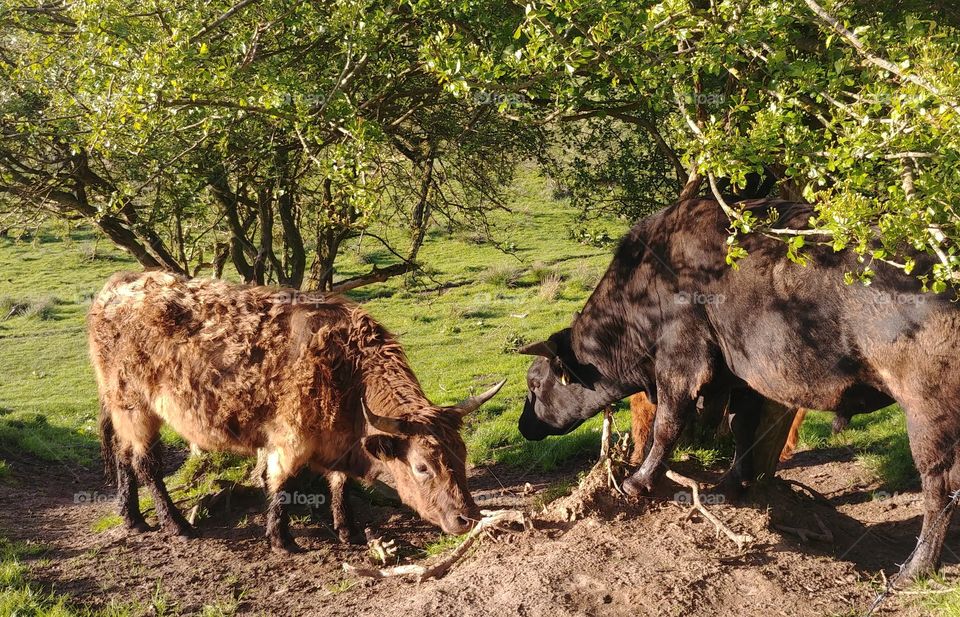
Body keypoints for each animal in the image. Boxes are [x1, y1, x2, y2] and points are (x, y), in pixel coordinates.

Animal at [89, 271, 504, 552]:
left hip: (123, 407)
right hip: (135, 404)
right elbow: (282, 484)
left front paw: (348, 530)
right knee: (146, 464)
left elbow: (340, 483)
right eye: (421, 467)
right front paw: (282, 540)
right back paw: (176, 525)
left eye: (462, 455)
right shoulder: (290, 436)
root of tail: (118, 284)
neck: (348, 372)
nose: (467, 517)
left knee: (124, 455)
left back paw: (134, 519)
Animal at [517, 197, 954, 581]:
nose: (524, 426)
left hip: (929, 410)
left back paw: (915, 569)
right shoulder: (741, 378)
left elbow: (666, 426)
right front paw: (732, 485)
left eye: (534, 384)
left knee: (940, 486)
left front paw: (639, 481)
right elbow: (742, 427)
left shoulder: (681, 362)